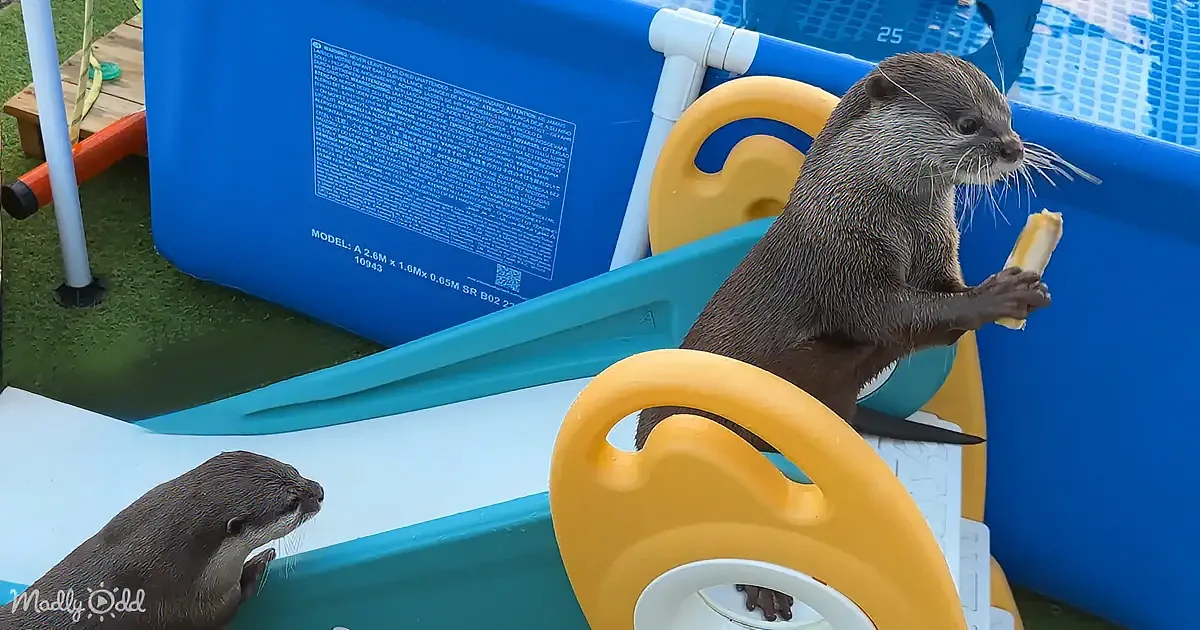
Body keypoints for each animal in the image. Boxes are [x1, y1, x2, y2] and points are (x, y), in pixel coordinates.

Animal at [1, 450, 323, 630]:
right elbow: (227, 608)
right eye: (292, 502)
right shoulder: (190, 607)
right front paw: (257, 564)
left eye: (294, 470)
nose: (319, 491)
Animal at [635, 52, 1049, 621]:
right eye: (968, 123)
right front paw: (1000, 294)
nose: (1013, 148)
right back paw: (768, 590)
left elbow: (937, 320)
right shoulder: (843, 264)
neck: (875, 209)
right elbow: (889, 317)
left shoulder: (939, 250)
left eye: (1008, 116)